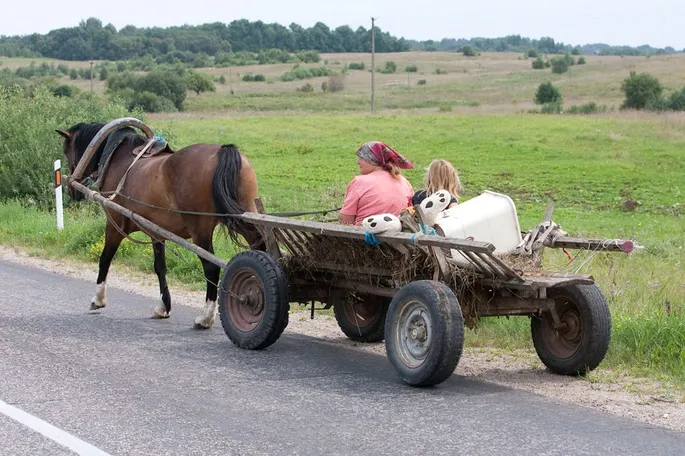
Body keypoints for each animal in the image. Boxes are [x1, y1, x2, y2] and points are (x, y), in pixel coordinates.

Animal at [56, 121, 264, 328]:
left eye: (66, 150)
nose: (72, 191)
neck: (118, 159)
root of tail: (223, 151)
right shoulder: (156, 232)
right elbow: (160, 267)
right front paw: (164, 307)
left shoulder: (114, 224)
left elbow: (105, 258)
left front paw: (98, 299)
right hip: (246, 216)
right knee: (260, 246)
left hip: (201, 231)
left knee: (211, 268)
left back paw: (206, 317)